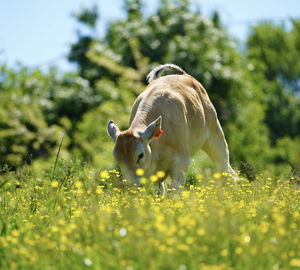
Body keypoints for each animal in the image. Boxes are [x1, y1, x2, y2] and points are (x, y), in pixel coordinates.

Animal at [108, 63, 237, 192]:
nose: (132, 186)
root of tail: (184, 75)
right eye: (117, 158)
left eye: (140, 155)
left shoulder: (181, 162)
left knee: (225, 171)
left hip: (215, 137)